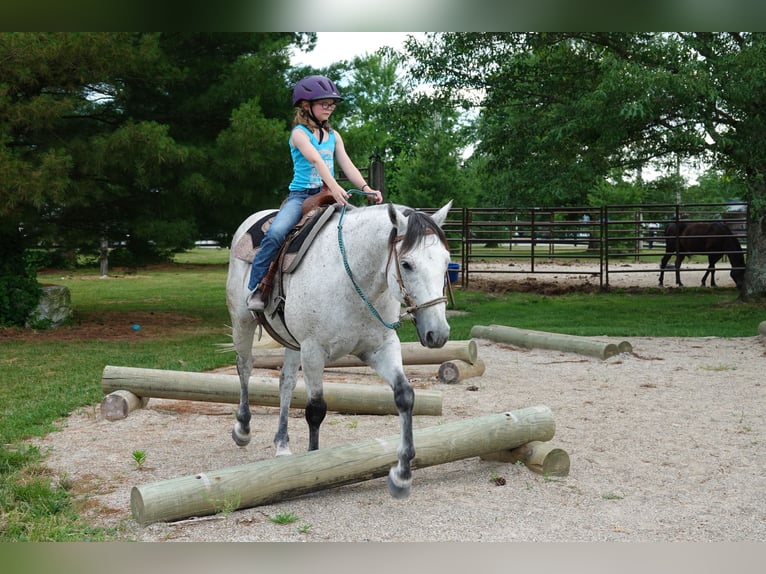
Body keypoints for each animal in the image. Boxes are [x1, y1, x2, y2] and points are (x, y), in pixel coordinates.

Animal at [226, 200, 453, 499]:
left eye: (446, 261)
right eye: (406, 263)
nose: (438, 333)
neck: (352, 279)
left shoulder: (381, 348)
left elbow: (405, 396)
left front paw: (402, 475)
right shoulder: (313, 350)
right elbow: (316, 409)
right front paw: (314, 467)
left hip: (292, 343)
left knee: (286, 383)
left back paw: (283, 445)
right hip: (243, 322)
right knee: (245, 367)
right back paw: (243, 429)